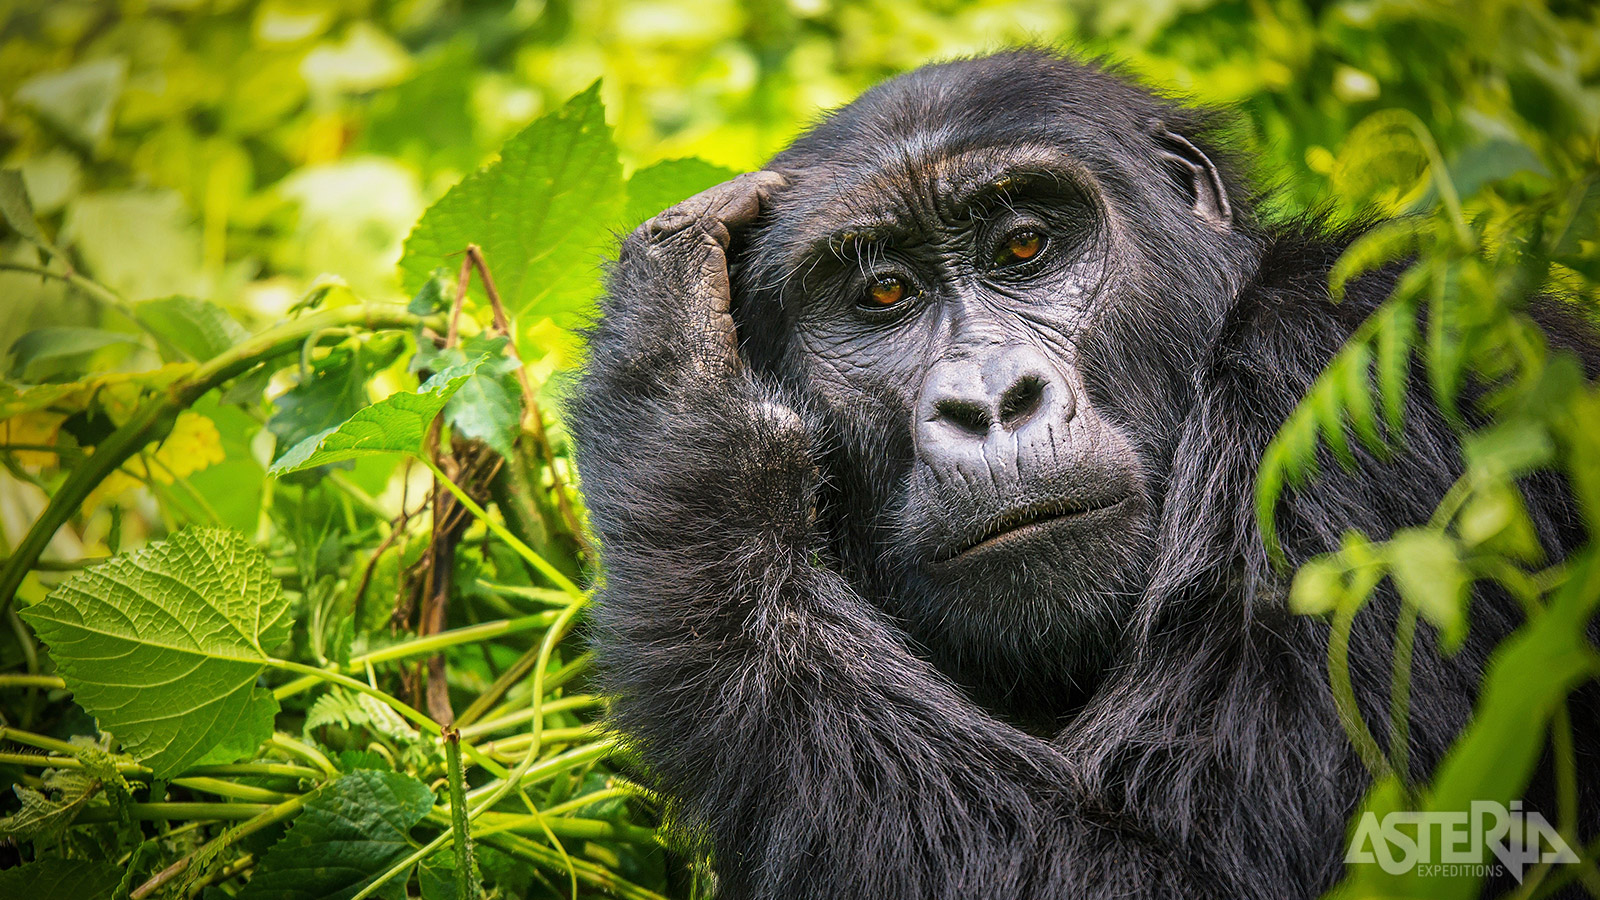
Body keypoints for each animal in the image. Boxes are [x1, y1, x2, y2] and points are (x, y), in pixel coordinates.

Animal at [569, 50, 1593, 896]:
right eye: (884, 293)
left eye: (1024, 244)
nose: (989, 401)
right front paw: (675, 367)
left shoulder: (1361, 374)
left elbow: (1187, 871)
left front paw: (681, 420)